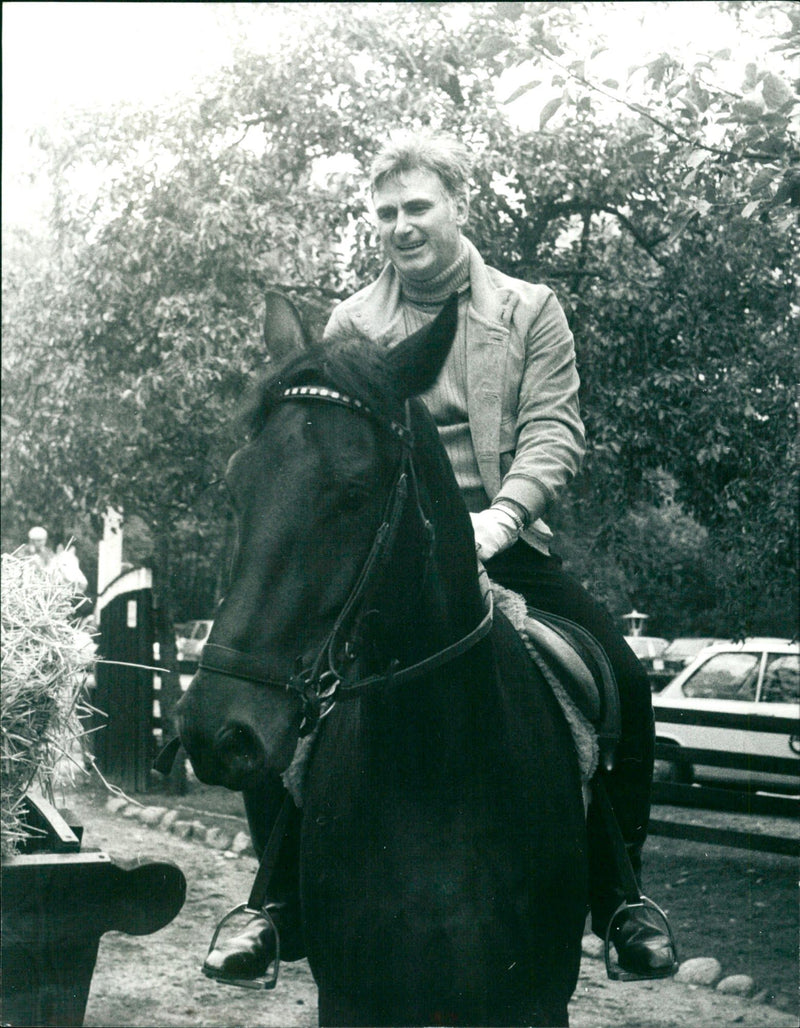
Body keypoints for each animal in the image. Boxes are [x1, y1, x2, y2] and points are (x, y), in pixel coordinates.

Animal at [178, 294, 584, 1023]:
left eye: (355, 492)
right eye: (236, 485)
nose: (215, 730)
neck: (433, 773)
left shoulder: (536, 999)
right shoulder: (353, 998)